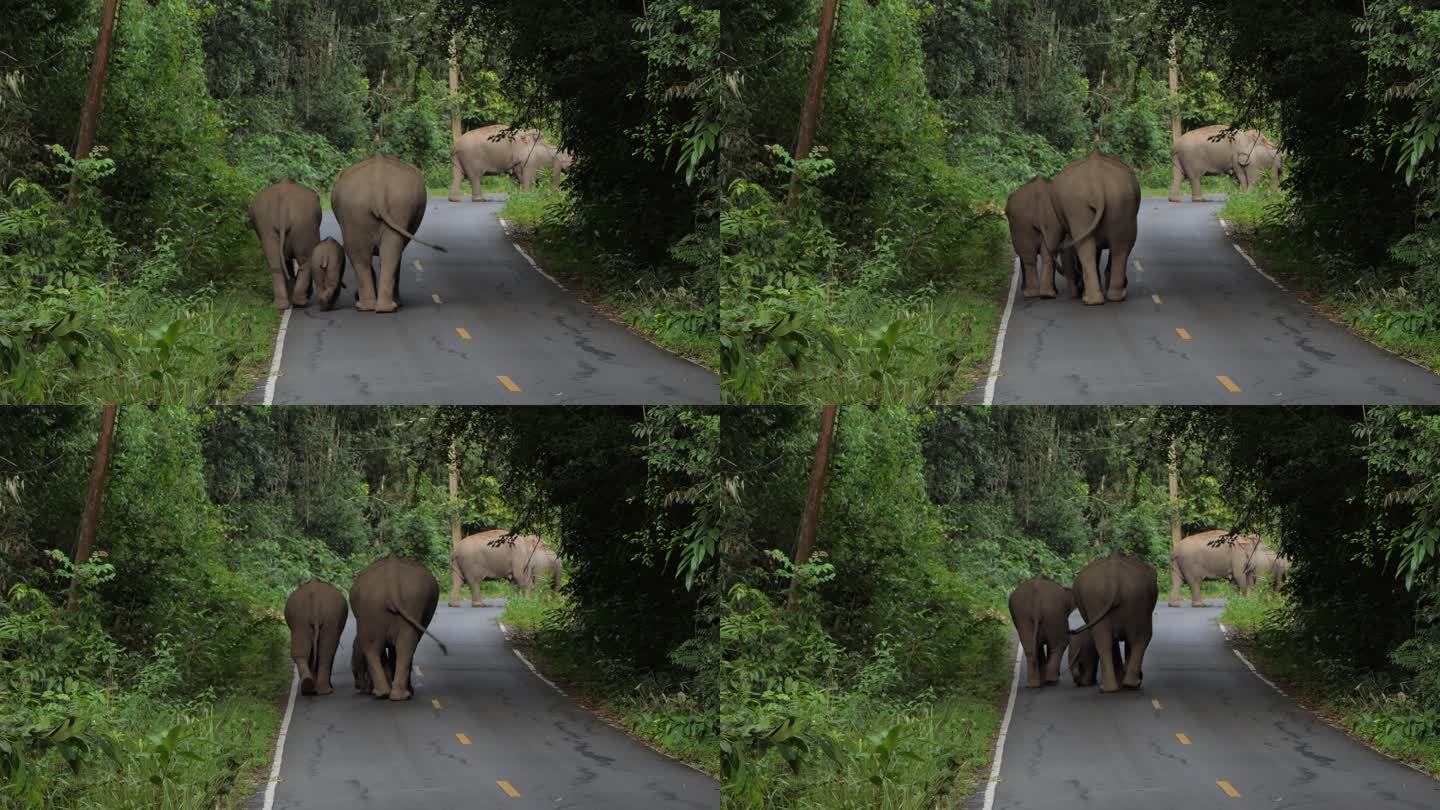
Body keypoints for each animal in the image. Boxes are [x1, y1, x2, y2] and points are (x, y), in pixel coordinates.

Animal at [250, 178, 324, 308]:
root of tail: (283, 201)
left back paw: (280, 305)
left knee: (276, 263)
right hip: (302, 224)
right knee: (306, 260)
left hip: (268, 226)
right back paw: (300, 302)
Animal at [328, 154, 449, 312]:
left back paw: (377, 307)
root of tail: (378, 182)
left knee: (369, 254)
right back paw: (380, 307)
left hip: (375, 208)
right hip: (374, 208)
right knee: (377, 254)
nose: (354, 294)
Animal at [347, 550, 443, 697]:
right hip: (389, 605)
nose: (357, 686)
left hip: (376, 606)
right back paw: (395, 694)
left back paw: (387, 693)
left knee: (380, 646)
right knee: (401, 645)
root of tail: (392, 572)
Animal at [1048, 149, 1134, 304]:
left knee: (1098, 246)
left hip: (1079, 204)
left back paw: (1092, 299)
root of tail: (1096, 183)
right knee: (1120, 245)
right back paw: (1109, 297)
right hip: (1115, 200)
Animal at [1071, 550, 1157, 691]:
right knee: (1139, 637)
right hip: (1120, 599)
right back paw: (1125, 685)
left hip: (1113, 599)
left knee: (1108, 640)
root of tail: (1114, 577)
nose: (1142, 675)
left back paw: (1115, 687)